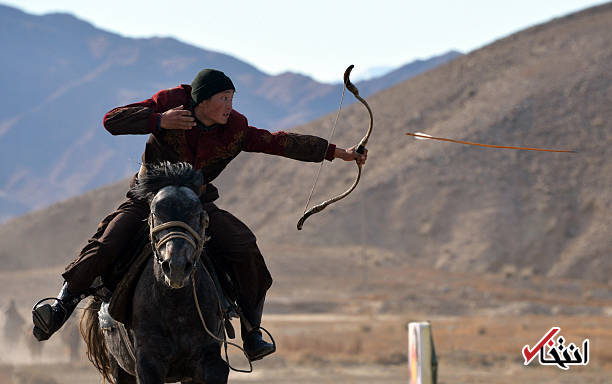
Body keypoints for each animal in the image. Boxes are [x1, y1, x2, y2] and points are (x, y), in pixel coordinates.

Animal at [79, 163, 227, 384]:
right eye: (155, 213)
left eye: (198, 214)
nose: (176, 266)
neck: (177, 306)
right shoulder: (148, 365)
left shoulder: (208, 360)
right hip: (120, 368)